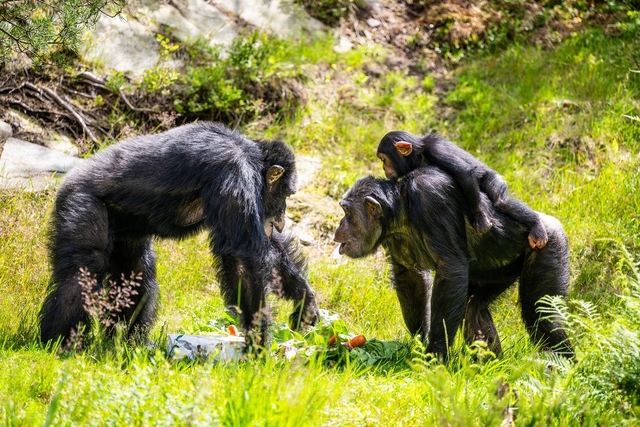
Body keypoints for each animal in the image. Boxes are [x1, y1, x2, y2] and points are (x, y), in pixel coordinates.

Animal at [41, 122, 318, 350]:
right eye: (287, 194)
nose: (282, 216)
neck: (250, 155)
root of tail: (70, 176)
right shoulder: (234, 171)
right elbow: (242, 256)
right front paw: (258, 344)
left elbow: (265, 244)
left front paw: (305, 300)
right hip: (81, 203)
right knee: (83, 272)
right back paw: (62, 343)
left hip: (126, 232)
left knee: (137, 276)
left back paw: (129, 341)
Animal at [336, 167, 576, 362]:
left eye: (347, 212)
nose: (339, 226)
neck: (402, 210)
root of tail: (552, 223)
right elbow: (410, 274)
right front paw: (420, 342)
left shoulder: (431, 198)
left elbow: (450, 268)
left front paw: (435, 355)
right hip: (499, 271)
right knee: (473, 307)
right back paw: (488, 367)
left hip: (548, 246)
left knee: (540, 313)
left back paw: (561, 363)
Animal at [378, 131, 548, 251]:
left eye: (384, 159)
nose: (383, 167)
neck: (419, 155)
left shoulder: (436, 149)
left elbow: (464, 174)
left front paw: (480, 219)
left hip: (492, 178)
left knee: (502, 201)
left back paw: (537, 225)